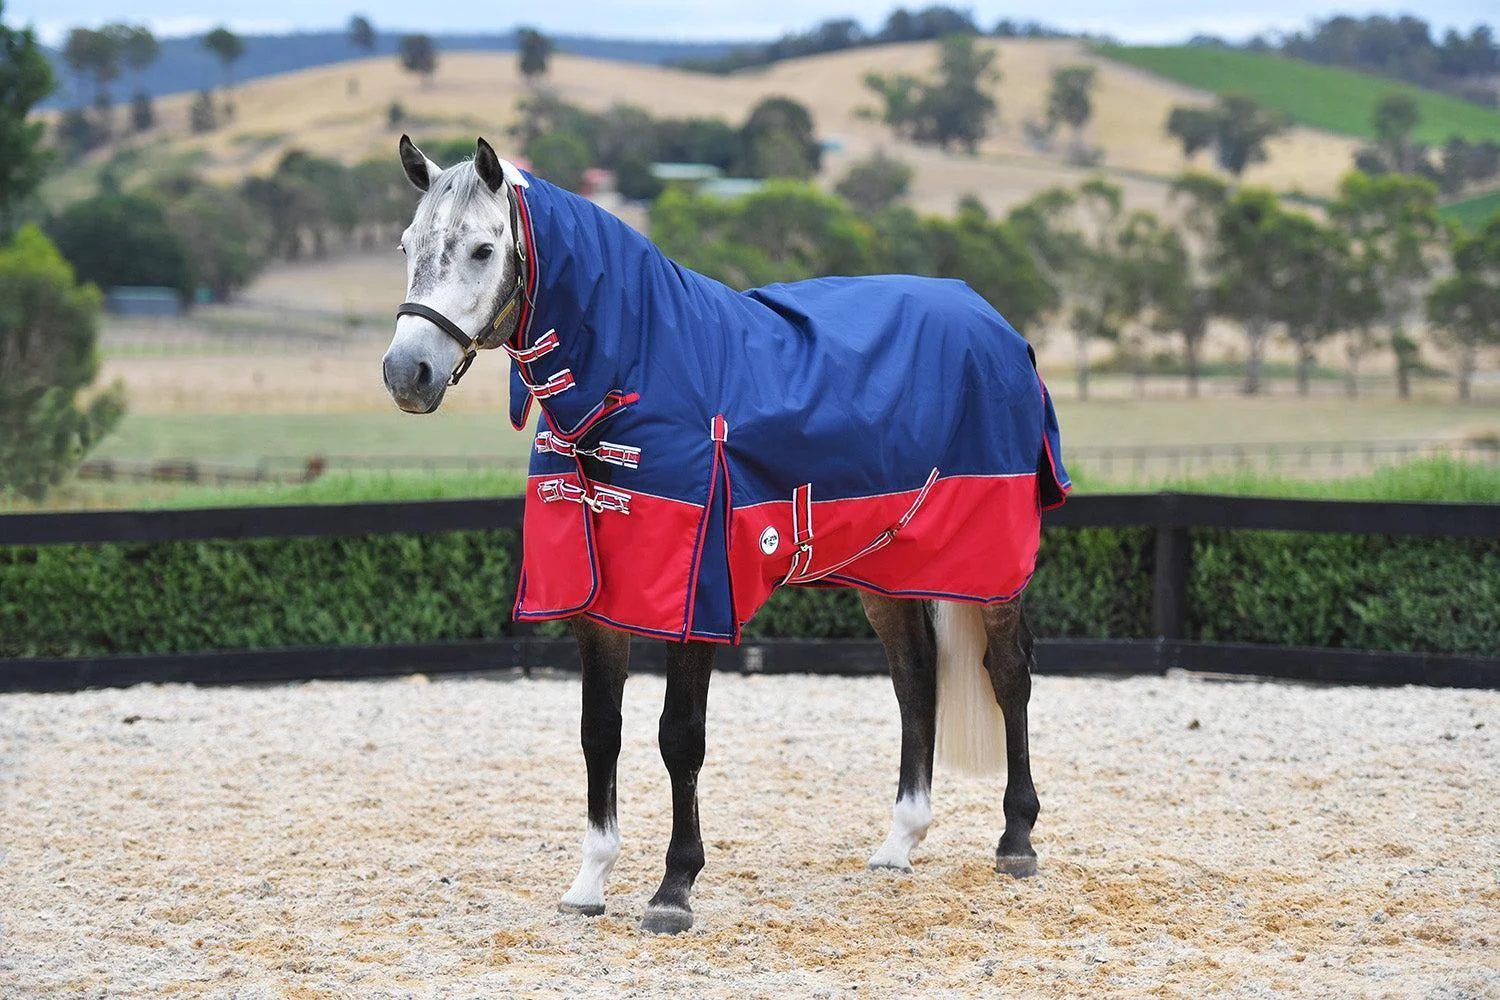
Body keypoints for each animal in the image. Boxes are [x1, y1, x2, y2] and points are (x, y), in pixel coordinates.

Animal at [381, 136, 1071, 935]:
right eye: (408, 245)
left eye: (484, 249)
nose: (406, 373)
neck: (639, 375)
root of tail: (998, 327)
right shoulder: (597, 603)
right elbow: (599, 731)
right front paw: (589, 882)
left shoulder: (695, 598)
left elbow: (679, 736)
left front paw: (673, 888)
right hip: (887, 569)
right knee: (915, 680)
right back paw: (900, 841)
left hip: (993, 565)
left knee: (1009, 673)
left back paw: (1016, 839)